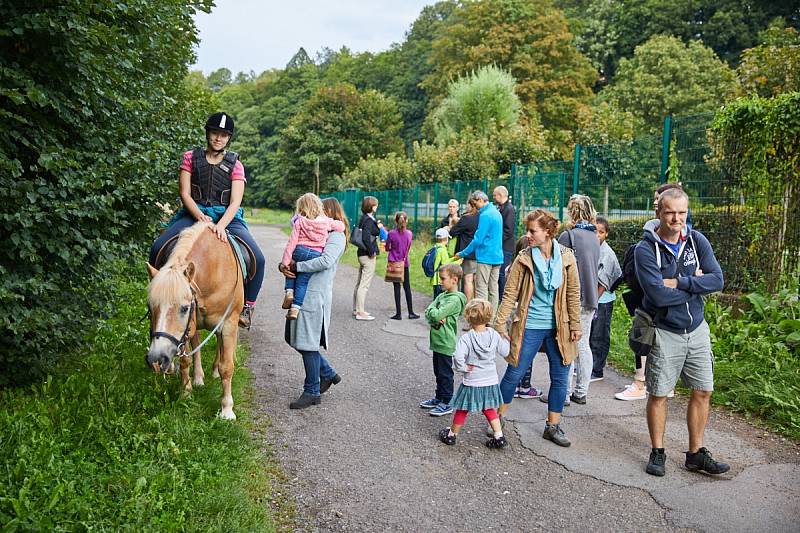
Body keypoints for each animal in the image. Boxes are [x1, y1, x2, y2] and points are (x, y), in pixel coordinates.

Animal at [144, 221, 244, 420]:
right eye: (150, 308)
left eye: (184, 308)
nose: (155, 359)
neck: (215, 268)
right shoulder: (187, 329)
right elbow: (185, 360)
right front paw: (186, 393)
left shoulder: (229, 323)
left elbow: (227, 366)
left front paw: (227, 410)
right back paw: (196, 376)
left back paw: (213, 371)